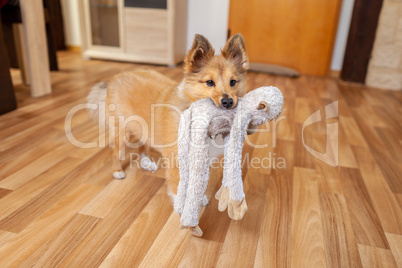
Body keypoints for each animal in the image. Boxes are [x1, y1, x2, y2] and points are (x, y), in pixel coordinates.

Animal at [88, 32, 248, 201]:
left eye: (233, 82)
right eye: (209, 82)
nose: (228, 102)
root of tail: (116, 78)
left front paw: (199, 198)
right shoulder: (176, 161)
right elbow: (178, 189)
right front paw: (182, 205)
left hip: (143, 127)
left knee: (143, 146)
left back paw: (146, 162)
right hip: (122, 132)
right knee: (116, 153)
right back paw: (117, 171)